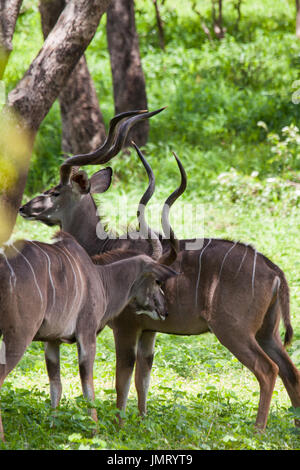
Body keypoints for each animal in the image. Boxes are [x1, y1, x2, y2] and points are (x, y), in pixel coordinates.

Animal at [21, 109, 300, 430]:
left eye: (54, 192)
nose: (25, 208)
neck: (104, 248)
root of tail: (274, 271)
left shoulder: (127, 327)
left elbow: (122, 380)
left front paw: (119, 427)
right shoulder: (149, 331)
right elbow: (143, 379)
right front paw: (142, 422)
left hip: (234, 331)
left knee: (268, 370)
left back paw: (258, 430)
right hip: (268, 332)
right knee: (291, 371)